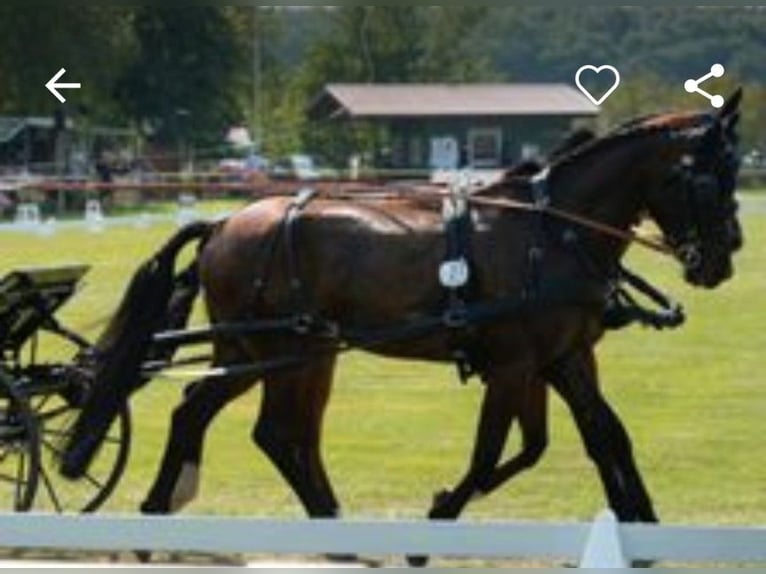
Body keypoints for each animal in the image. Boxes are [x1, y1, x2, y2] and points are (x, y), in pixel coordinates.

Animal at [62, 90, 742, 564]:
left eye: (736, 174)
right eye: (708, 177)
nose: (724, 258)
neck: (552, 230)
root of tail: (225, 221)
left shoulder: (565, 358)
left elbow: (603, 439)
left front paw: (644, 528)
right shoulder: (514, 365)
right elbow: (496, 451)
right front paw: (434, 523)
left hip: (282, 350)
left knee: (221, 418)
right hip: (274, 347)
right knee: (266, 430)